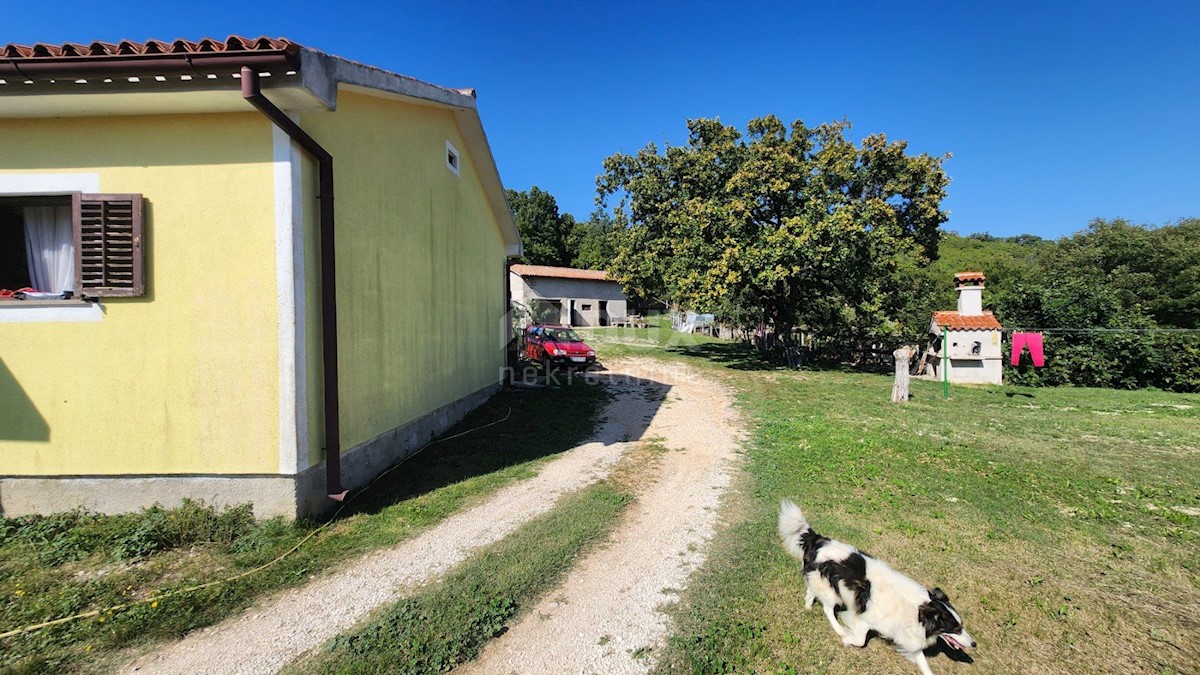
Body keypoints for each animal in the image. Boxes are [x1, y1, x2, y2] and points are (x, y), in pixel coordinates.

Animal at [777, 497, 974, 667]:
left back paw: (808, 606)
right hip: (831, 591)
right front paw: (846, 639)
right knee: (827, 608)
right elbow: (860, 640)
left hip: (822, 582)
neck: (917, 611)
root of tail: (818, 539)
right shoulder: (866, 618)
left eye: (961, 626)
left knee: (812, 590)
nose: (974, 644)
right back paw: (838, 629)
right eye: (956, 629)